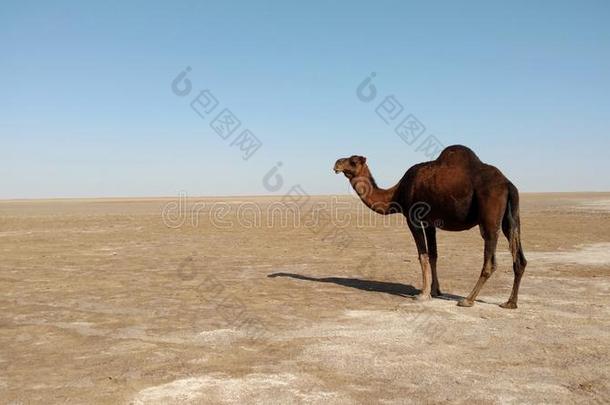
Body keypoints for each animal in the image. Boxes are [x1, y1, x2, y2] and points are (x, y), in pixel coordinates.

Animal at [330, 144, 524, 306]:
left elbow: (422, 255)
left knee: (490, 261)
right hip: (511, 218)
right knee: (520, 258)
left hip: (490, 217)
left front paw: (422, 294)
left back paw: (468, 300)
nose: (336, 163)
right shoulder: (431, 223)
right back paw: (510, 302)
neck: (396, 194)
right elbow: (433, 255)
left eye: (353, 161)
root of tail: (508, 184)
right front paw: (435, 290)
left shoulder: (413, 219)